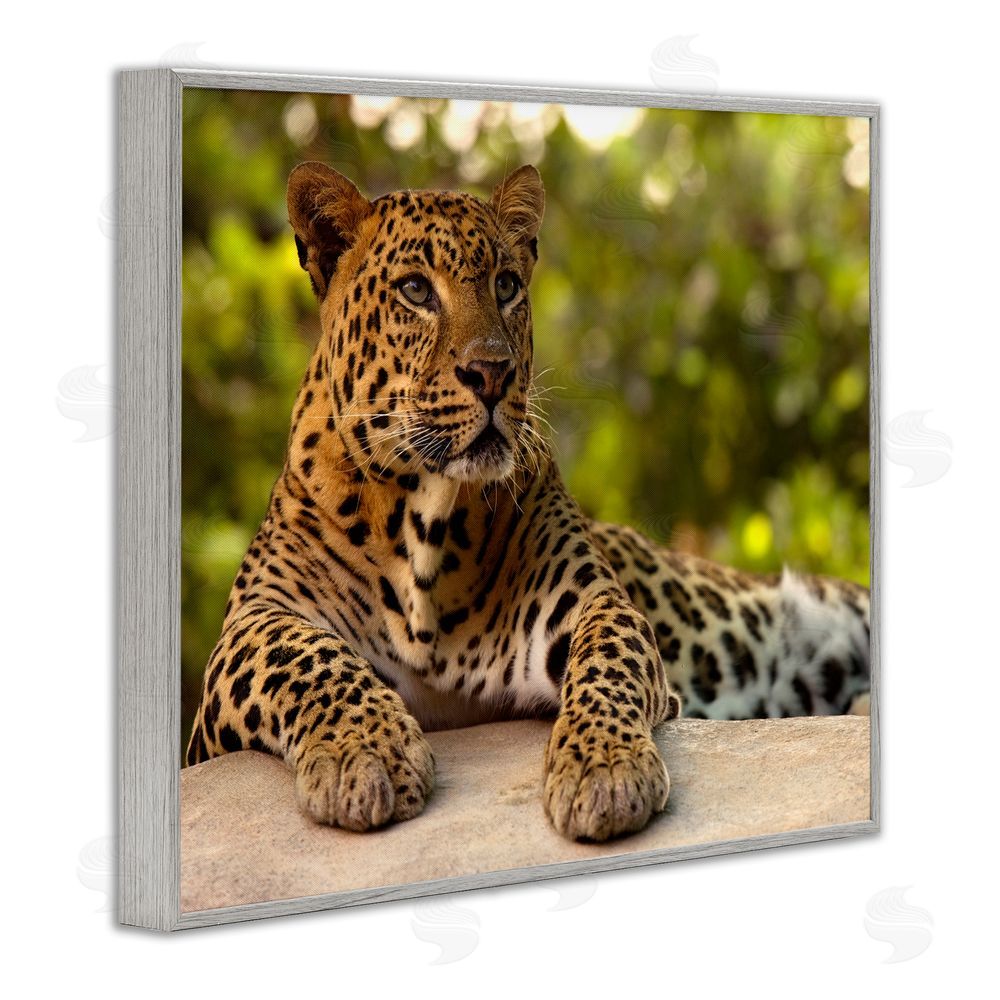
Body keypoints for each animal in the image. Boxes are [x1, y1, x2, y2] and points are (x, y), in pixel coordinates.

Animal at [185, 161, 871, 843]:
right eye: (416, 290)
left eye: (507, 285)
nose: (492, 372)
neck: (423, 519)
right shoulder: (248, 630)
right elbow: (305, 657)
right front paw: (366, 753)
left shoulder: (590, 601)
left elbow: (607, 660)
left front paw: (604, 768)